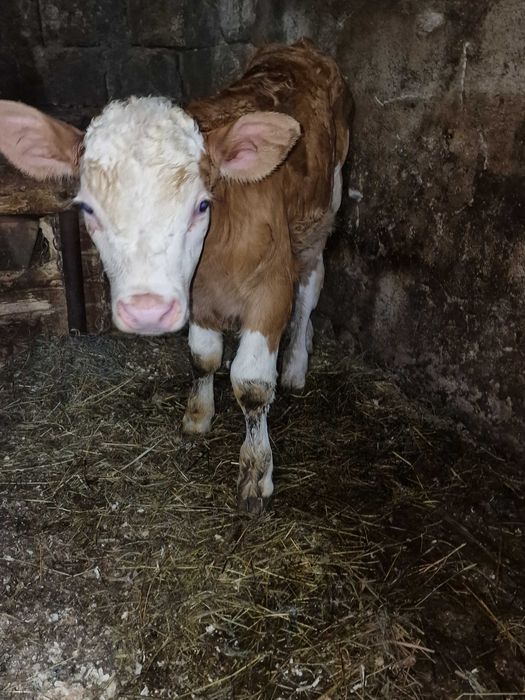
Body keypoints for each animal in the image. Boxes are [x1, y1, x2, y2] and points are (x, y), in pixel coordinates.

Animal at [0, 39, 352, 514]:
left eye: (202, 204)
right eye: (87, 208)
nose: (147, 310)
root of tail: (299, 48)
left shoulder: (271, 290)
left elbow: (252, 384)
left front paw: (255, 474)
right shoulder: (197, 296)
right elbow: (203, 356)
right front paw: (198, 416)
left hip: (321, 217)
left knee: (310, 291)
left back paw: (296, 365)